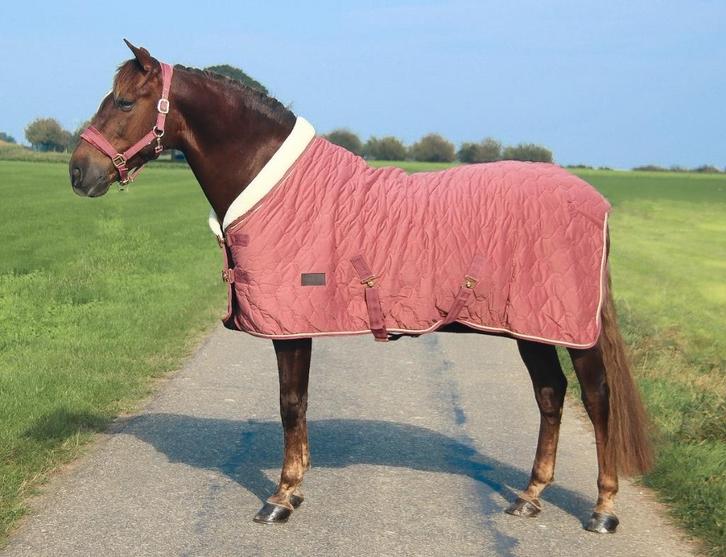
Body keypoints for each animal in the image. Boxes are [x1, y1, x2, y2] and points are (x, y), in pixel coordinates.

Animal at [69, 40, 652, 534]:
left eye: (124, 102)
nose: (78, 173)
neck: (276, 186)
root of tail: (595, 202)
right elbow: (299, 404)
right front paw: (295, 488)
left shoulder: (291, 324)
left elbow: (290, 403)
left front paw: (281, 497)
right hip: (529, 326)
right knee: (550, 395)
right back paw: (530, 496)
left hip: (568, 328)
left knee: (596, 400)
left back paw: (603, 508)